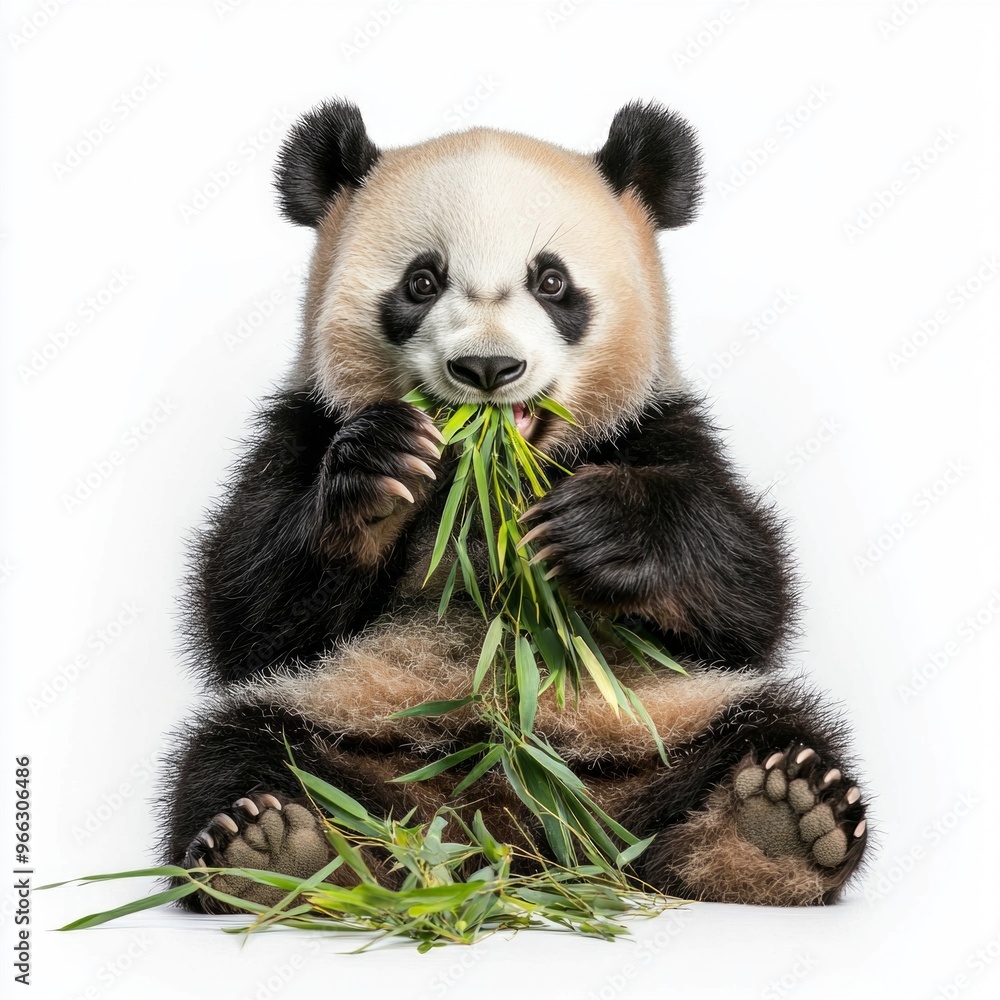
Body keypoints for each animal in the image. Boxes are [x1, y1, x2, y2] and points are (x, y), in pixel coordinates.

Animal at [161, 99, 870, 911]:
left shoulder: (653, 428)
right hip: (343, 725)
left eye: (552, 282)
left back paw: (775, 829)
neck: (483, 484)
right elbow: (247, 609)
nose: (488, 367)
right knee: (239, 750)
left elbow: (749, 599)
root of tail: (510, 835)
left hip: (663, 729)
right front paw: (379, 471)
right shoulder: (304, 424)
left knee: (772, 731)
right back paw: (281, 853)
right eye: (422, 281)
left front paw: (602, 531)